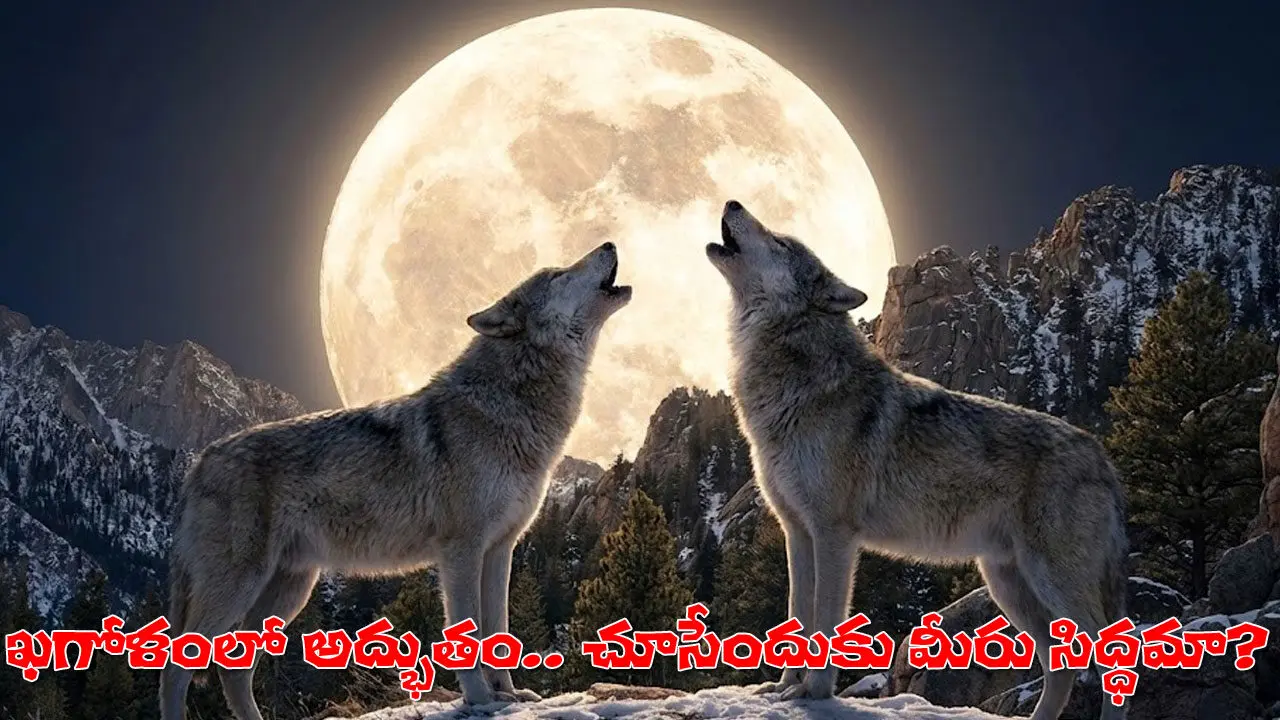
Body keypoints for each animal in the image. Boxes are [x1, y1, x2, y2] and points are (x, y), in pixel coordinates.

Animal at [159, 242, 632, 720]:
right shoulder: (460, 550)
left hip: (288, 591)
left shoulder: (501, 549)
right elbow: (468, 630)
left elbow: (498, 630)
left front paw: (509, 696)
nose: (609, 243)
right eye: (557, 274)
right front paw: (479, 698)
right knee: (176, 670)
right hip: (240, 587)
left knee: (233, 670)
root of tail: (202, 461)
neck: (508, 407)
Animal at [706, 201, 1129, 720]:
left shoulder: (834, 534)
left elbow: (824, 620)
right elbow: (795, 616)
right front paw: (783, 689)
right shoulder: (797, 534)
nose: (733, 203)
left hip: (1052, 581)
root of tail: (1102, 455)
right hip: (1008, 585)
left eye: (782, 242)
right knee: (1061, 664)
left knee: (1116, 656)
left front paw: (813, 694)